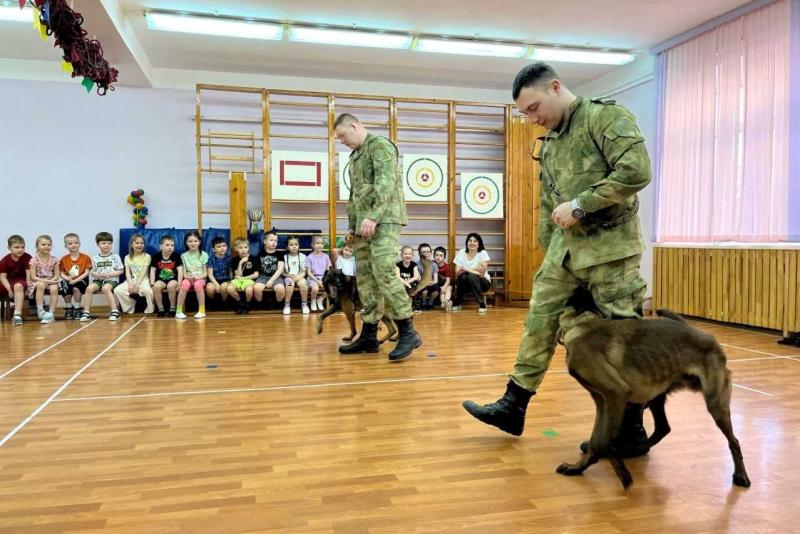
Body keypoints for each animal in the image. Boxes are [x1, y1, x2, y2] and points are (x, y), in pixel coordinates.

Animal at [556, 308, 752, 492]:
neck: (579, 326)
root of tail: (709, 337)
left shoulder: (616, 394)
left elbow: (604, 441)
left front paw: (623, 475)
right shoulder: (602, 400)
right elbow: (596, 440)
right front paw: (579, 467)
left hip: (715, 404)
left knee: (734, 441)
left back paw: (741, 475)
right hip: (655, 397)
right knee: (663, 428)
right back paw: (637, 447)